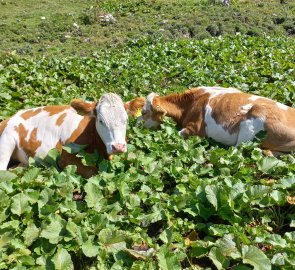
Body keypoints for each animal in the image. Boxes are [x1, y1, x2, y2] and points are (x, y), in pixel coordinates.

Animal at [0, 94, 130, 178]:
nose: (118, 147)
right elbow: (92, 172)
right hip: (6, 141)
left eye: (126, 120)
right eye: (101, 121)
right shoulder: (66, 159)